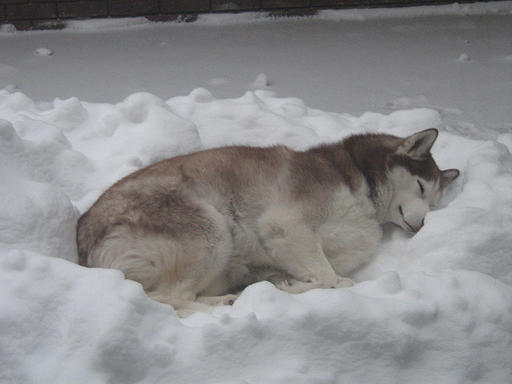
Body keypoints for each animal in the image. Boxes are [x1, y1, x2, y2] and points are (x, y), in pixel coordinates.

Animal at [77, 128, 460, 308]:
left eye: (435, 202)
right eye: (422, 188)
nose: (422, 224)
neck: (362, 183)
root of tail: (83, 240)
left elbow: (330, 275)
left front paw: (283, 282)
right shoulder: (286, 225)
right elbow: (336, 281)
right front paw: (290, 288)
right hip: (211, 229)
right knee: (168, 298)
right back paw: (225, 304)